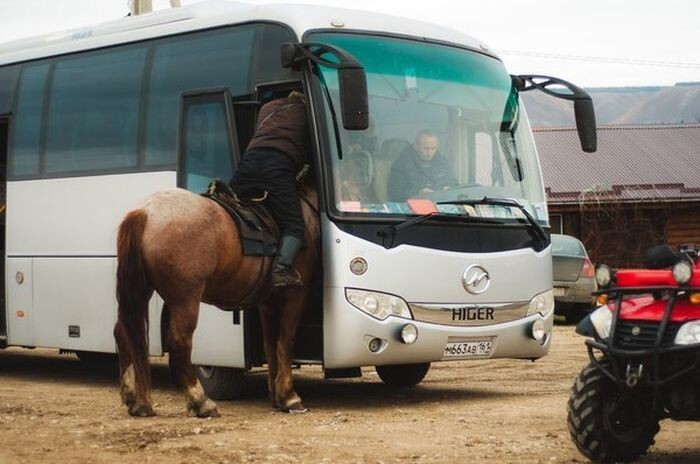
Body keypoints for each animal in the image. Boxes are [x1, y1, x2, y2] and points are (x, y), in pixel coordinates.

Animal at [113, 185, 320, 416]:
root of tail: (145, 212)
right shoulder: (296, 294)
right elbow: (286, 341)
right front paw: (290, 397)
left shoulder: (267, 302)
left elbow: (270, 344)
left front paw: (276, 395)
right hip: (185, 299)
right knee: (179, 342)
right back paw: (201, 402)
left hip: (141, 290)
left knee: (123, 333)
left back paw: (137, 401)